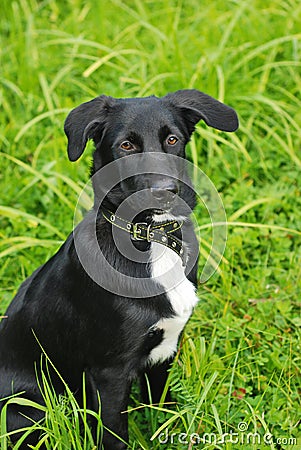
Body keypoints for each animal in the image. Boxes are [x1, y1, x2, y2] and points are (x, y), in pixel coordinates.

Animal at [0, 89, 237, 448]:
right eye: (126, 145)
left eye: (172, 139)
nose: (165, 193)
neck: (149, 238)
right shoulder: (108, 374)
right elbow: (114, 435)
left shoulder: (164, 353)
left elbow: (164, 412)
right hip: (28, 407)